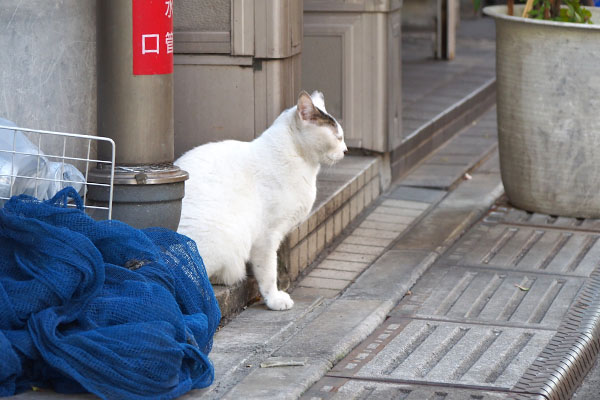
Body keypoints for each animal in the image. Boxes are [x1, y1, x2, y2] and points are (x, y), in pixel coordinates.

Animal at [175, 92, 346, 310]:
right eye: (338, 137)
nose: (346, 150)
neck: (300, 159)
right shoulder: (267, 236)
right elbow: (269, 272)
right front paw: (274, 300)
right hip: (227, 235)